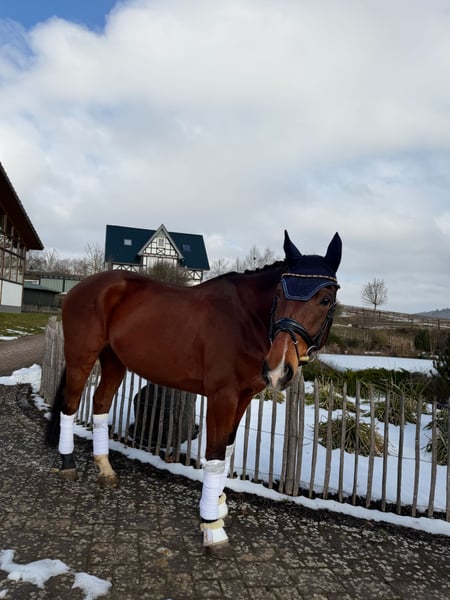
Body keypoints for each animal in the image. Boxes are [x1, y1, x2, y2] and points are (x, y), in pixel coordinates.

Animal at [46, 230, 342, 548]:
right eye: (279, 294)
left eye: (326, 299)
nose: (278, 368)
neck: (244, 317)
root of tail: (81, 287)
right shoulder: (222, 397)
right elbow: (215, 454)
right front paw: (211, 525)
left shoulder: (243, 398)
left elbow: (227, 449)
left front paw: (219, 504)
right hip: (81, 357)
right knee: (70, 404)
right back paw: (68, 464)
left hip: (114, 361)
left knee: (100, 403)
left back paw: (105, 468)